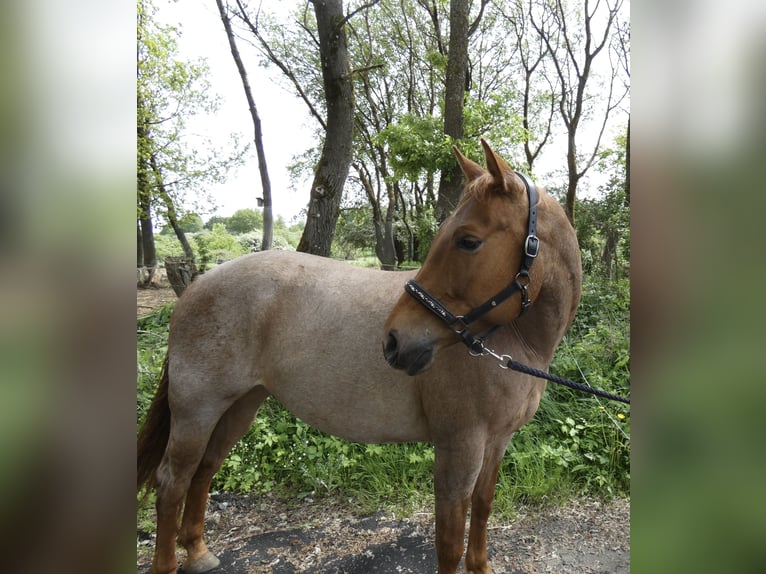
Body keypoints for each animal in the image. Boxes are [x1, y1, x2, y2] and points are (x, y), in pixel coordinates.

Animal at [137, 139, 582, 574]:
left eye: (468, 240)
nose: (394, 341)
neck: (513, 342)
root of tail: (198, 284)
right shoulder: (459, 446)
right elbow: (450, 541)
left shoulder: (498, 441)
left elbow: (484, 505)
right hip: (197, 409)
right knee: (172, 480)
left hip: (239, 406)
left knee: (204, 470)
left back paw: (198, 552)